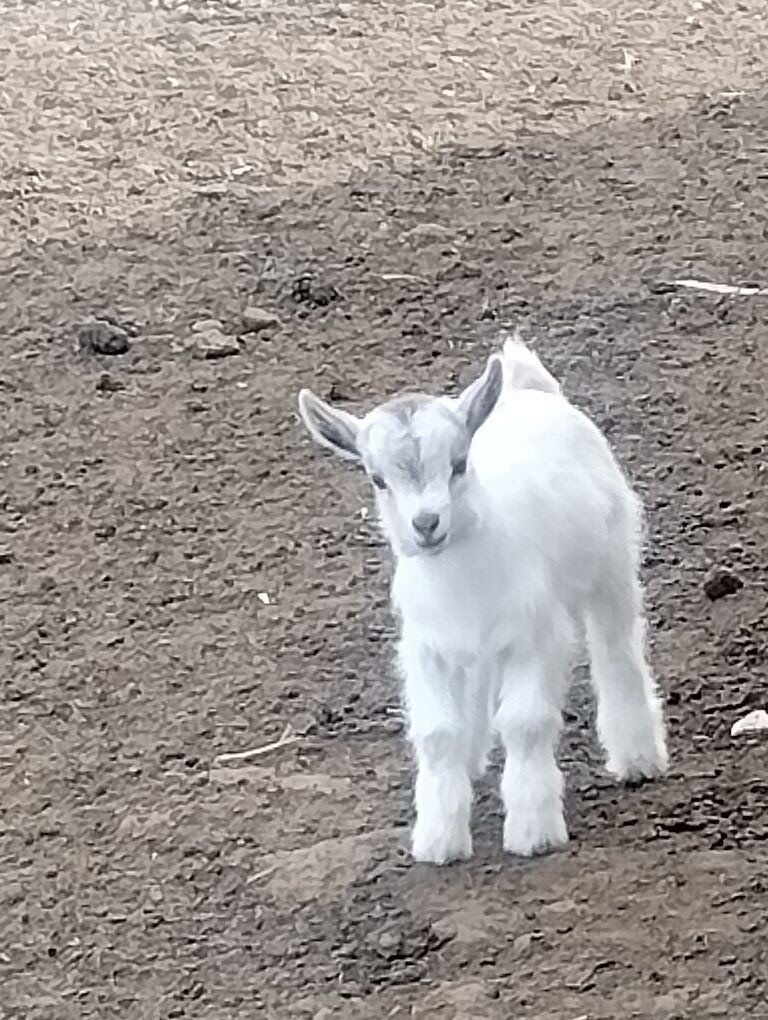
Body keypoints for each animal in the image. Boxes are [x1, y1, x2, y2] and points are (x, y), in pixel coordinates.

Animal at [298, 338, 668, 865]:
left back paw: (637, 758)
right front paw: (439, 840)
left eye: (457, 464)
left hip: (612, 562)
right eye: (378, 479)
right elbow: (438, 734)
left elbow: (525, 722)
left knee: (617, 651)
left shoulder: (536, 636)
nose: (426, 524)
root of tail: (529, 390)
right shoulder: (428, 647)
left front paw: (534, 831)